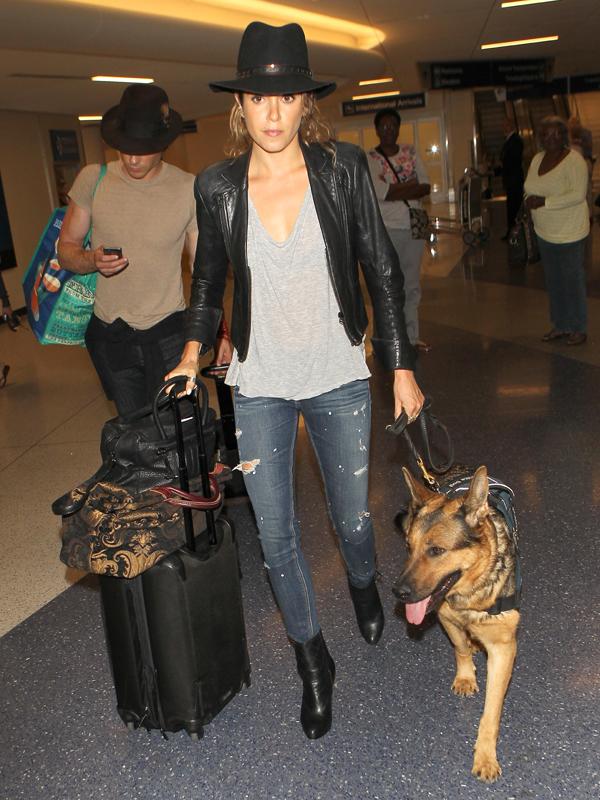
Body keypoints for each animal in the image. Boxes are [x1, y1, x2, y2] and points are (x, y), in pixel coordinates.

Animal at [394, 462, 520, 780]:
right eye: (408, 546)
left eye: (436, 550)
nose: (397, 592)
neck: (470, 594)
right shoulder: (445, 617)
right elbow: (460, 647)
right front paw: (465, 676)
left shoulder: (504, 648)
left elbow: (491, 712)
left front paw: (485, 755)